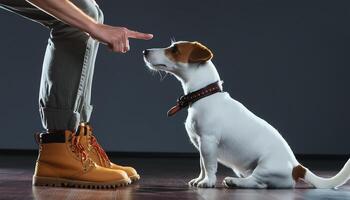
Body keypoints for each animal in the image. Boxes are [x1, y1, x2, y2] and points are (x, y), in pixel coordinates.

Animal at [142, 41, 350, 189]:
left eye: (175, 49)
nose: (145, 51)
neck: (205, 94)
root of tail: (297, 168)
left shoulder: (208, 141)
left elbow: (209, 165)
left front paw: (207, 182)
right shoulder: (200, 143)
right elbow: (202, 165)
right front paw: (199, 179)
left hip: (265, 167)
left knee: (257, 183)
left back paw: (234, 181)